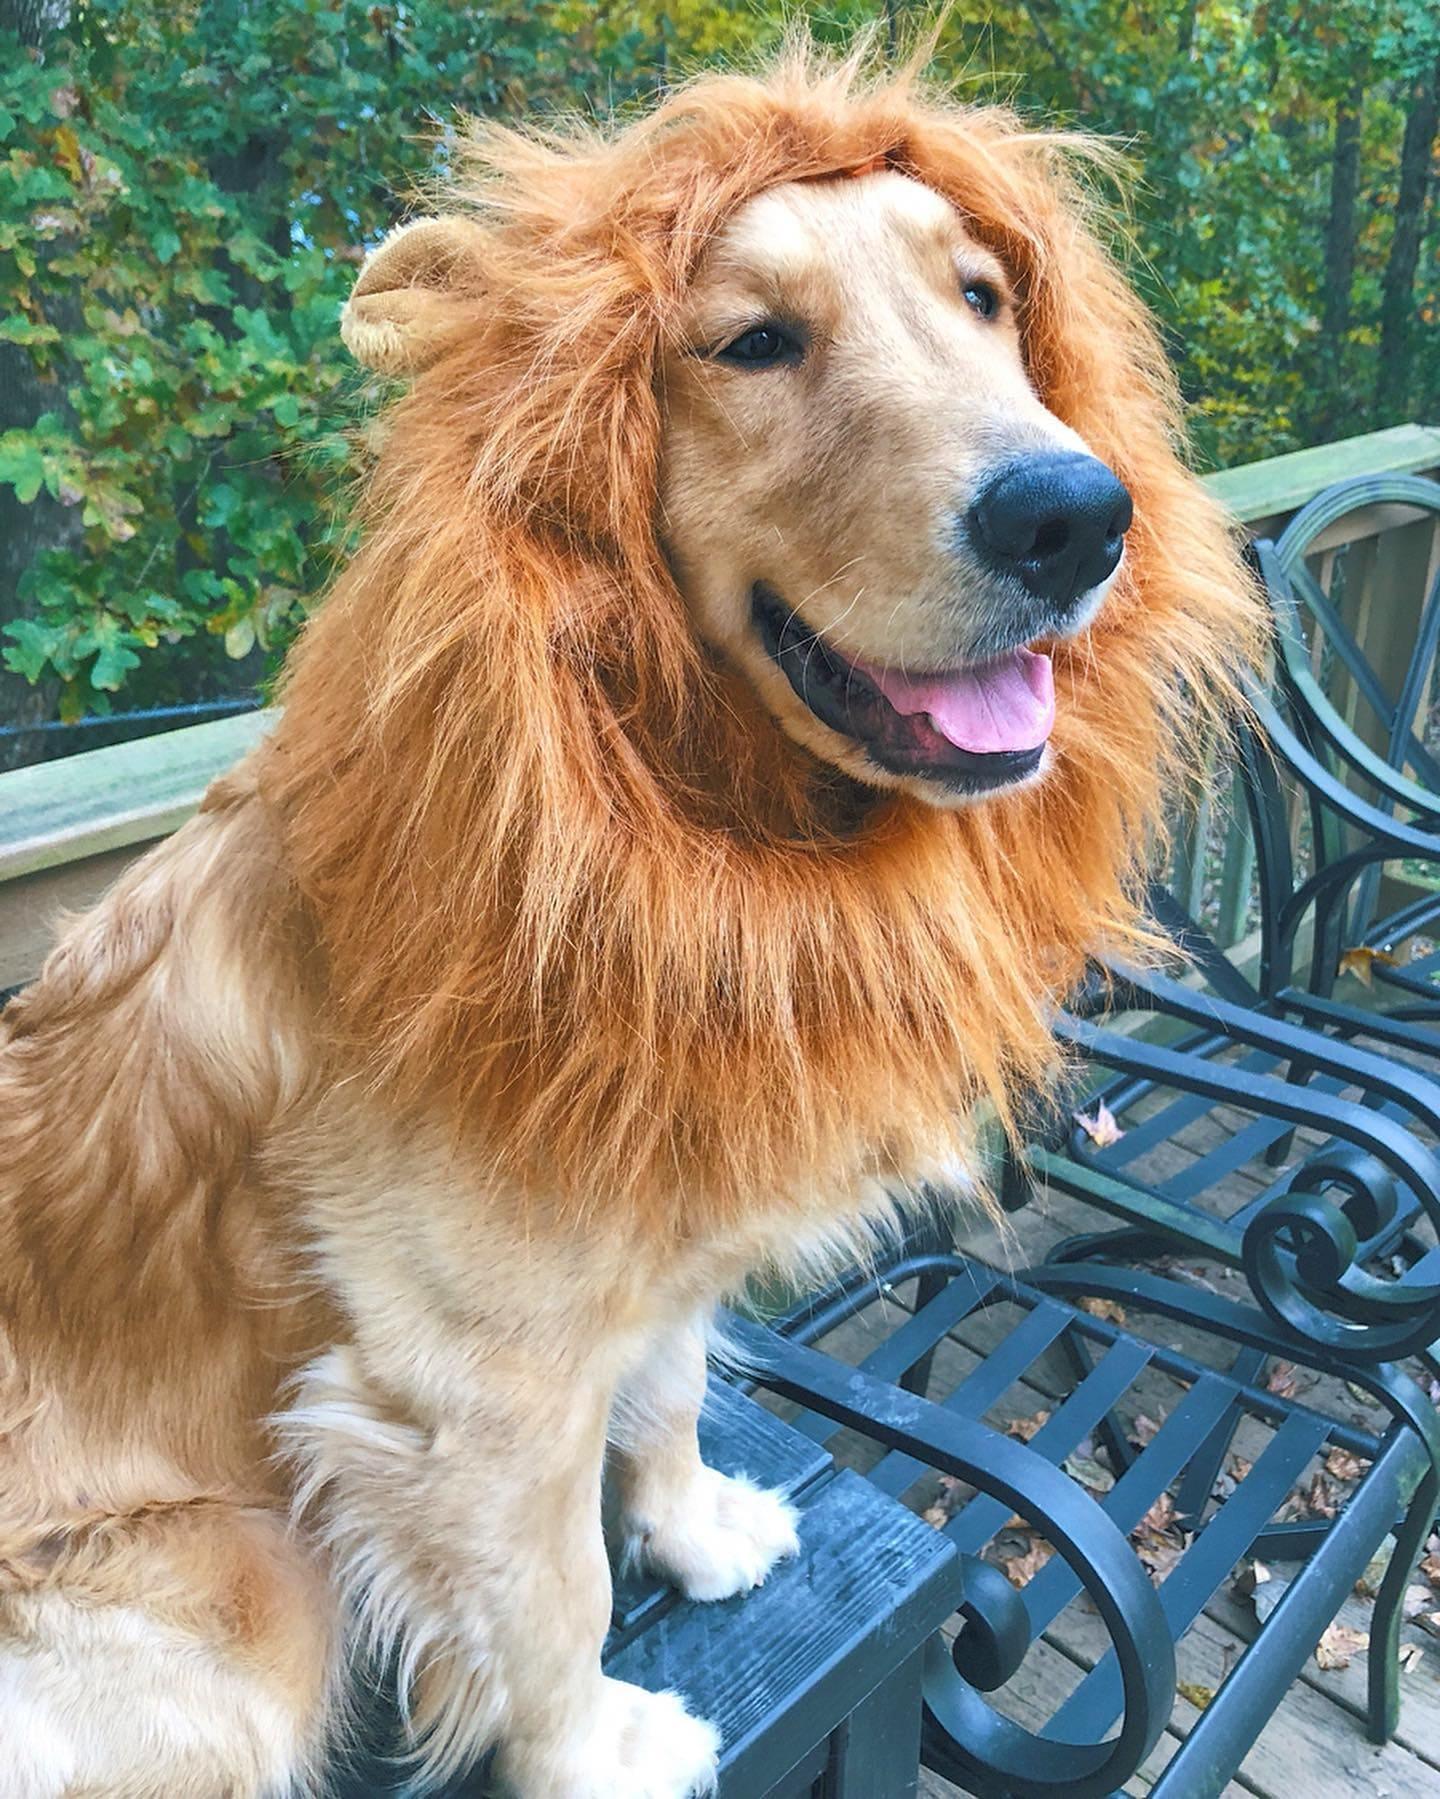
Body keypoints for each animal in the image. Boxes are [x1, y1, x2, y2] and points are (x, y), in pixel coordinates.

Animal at [0, 40, 1258, 1799]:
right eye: (753, 342)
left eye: (987, 298)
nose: (1078, 513)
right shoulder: (473, 1380)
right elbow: (551, 1589)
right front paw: (593, 1742)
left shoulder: (668, 1208)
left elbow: (665, 1390)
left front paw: (694, 1527)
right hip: (247, 1596)